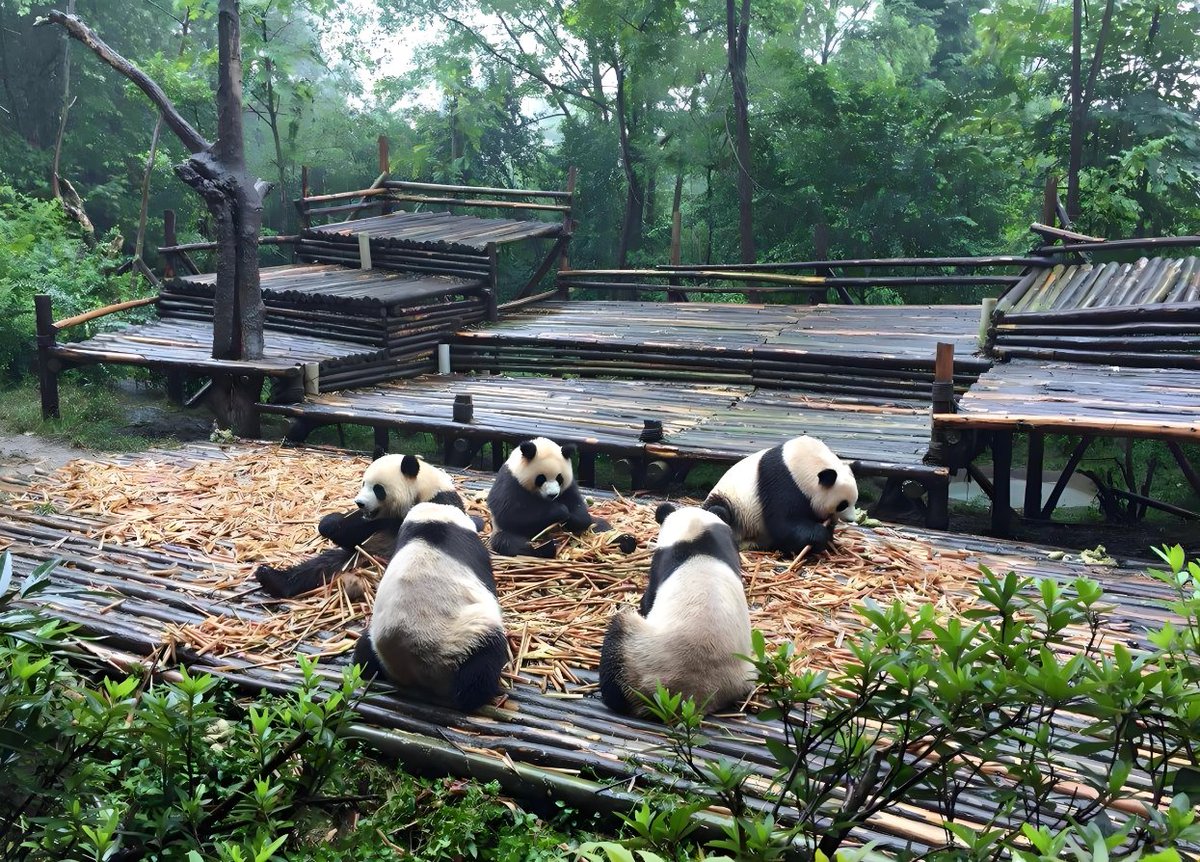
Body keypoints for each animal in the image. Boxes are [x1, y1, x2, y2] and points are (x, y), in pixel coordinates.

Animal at [255, 454, 474, 598]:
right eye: (363, 483)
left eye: (378, 489)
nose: (359, 503)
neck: (421, 488)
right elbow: (351, 533)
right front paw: (329, 523)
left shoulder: (437, 503)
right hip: (356, 555)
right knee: (319, 566)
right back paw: (271, 578)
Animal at [351, 502, 507, 712]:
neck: (432, 523)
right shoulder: (475, 550)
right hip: (466, 638)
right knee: (480, 671)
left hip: (375, 634)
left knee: (363, 655)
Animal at [598, 503, 753, 717]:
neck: (698, 539)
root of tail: (695, 697)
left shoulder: (663, 560)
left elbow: (649, 598)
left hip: (640, 656)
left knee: (618, 639)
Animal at [702, 435, 858, 557]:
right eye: (843, 504)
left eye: (855, 501)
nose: (852, 519)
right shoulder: (781, 484)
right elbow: (784, 522)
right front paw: (819, 537)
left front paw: (828, 540)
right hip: (733, 505)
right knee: (719, 511)